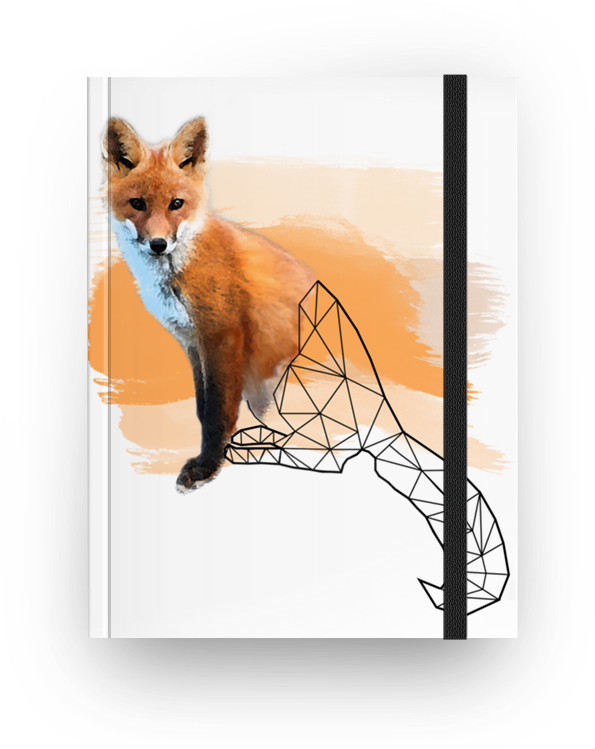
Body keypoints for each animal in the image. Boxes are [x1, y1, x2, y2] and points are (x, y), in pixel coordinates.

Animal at [102, 117, 316, 493]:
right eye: (137, 203)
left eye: (176, 203)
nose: (158, 244)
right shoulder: (193, 342)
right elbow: (202, 408)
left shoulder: (223, 337)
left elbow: (218, 411)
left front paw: (207, 468)